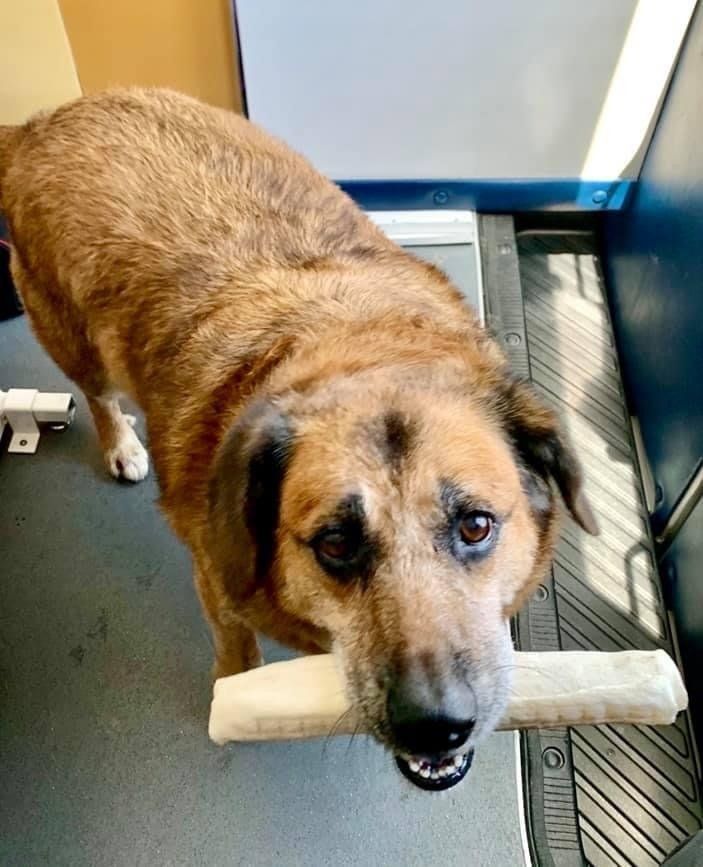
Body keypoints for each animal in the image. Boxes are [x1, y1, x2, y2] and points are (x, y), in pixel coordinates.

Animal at [0, 88, 597, 787]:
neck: (366, 347)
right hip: (75, 340)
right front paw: (236, 693)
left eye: (476, 527)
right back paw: (120, 442)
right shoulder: (215, 576)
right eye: (335, 544)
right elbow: (235, 649)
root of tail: (42, 122)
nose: (436, 726)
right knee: (97, 394)